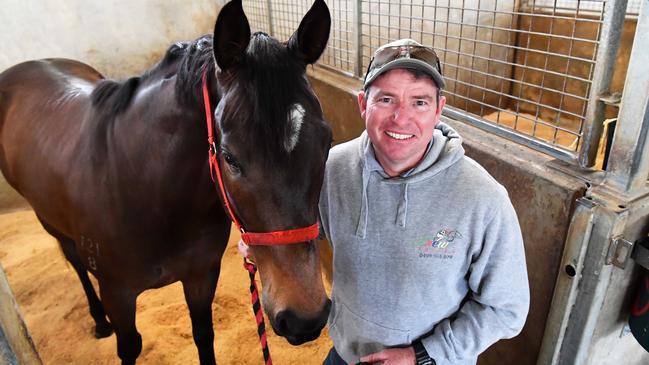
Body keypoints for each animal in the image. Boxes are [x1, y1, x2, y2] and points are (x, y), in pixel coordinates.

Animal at [0, 1, 332, 362]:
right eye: (229, 156)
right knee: (74, 261)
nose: (304, 318)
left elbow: (203, 334)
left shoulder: (201, 275)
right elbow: (129, 347)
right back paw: (99, 321)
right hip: (50, 221)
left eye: (327, 142)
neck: (148, 191)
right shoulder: (117, 293)